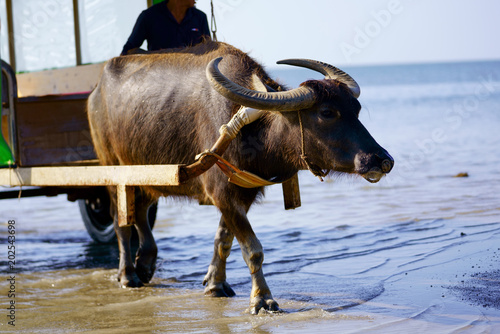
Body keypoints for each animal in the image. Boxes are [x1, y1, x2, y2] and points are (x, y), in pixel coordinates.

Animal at [89, 40, 394, 314]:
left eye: (356, 109)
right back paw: (128, 275)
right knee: (121, 221)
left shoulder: (241, 195)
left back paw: (146, 264)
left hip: (144, 175)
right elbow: (252, 249)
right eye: (327, 112)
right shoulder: (223, 195)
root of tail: (95, 93)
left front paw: (216, 285)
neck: (253, 130)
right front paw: (262, 300)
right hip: (112, 171)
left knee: (140, 211)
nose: (382, 160)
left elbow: (223, 240)